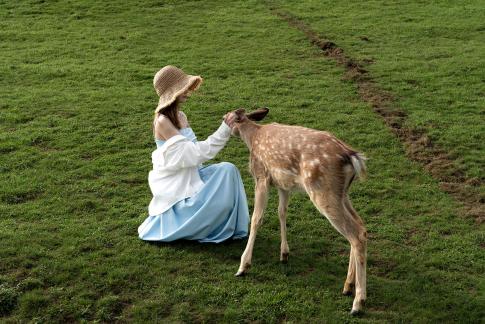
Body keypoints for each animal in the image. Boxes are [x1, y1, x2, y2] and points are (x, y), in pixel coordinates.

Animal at [231, 108, 366, 314]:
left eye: (227, 117)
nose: (223, 121)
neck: (253, 137)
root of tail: (352, 157)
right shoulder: (283, 184)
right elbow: (281, 212)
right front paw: (284, 254)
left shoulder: (261, 176)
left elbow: (256, 218)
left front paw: (243, 266)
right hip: (342, 194)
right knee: (361, 226)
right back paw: (348, 286)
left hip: (322, 190)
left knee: (356, 234)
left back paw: (358, 302)